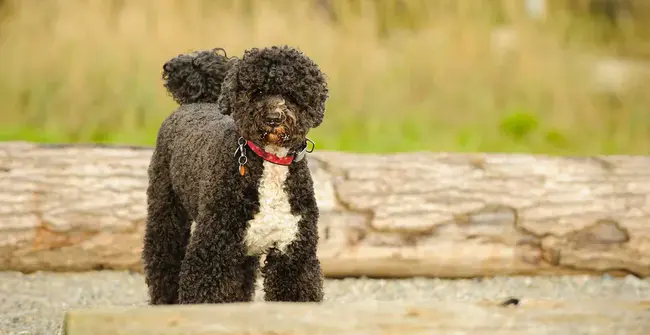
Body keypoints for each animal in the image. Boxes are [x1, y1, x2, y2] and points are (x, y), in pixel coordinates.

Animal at [140, 46, 326, 306]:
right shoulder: (212, 248)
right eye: (257, 92)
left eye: (291, 94)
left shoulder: (292, 252)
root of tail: (196, 101)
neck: (269, 163)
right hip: (166, 210)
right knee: (163, 258)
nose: (274, 118)